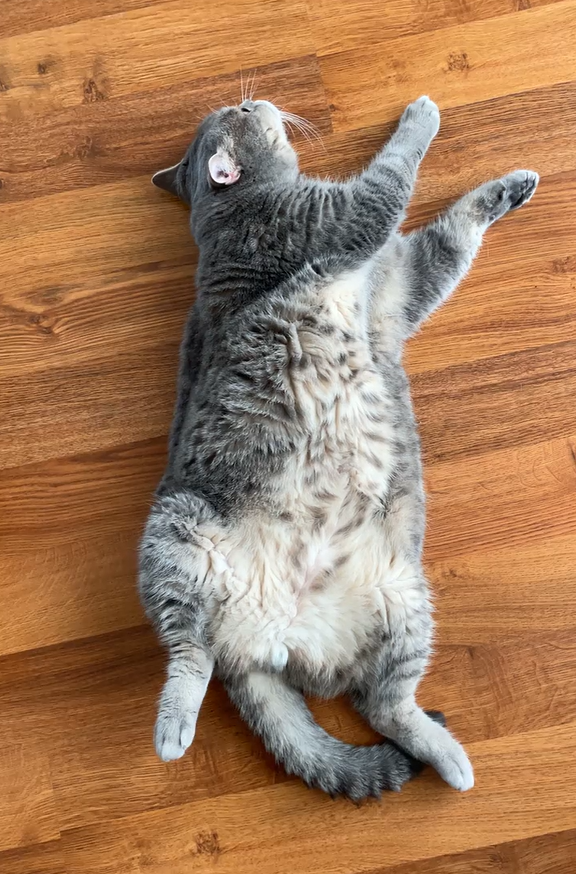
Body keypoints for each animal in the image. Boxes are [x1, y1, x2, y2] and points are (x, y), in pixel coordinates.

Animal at [139, 95, 538, 800]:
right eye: (241, 108)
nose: (255, 96)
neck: (231, 213)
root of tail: (273, 640)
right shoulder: (349, 216)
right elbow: (396, 167)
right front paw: (421, 115)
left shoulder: (401, 282)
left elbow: (455, 229)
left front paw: (511, 188)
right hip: (176, 530)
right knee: (189, 652)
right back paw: (173, 728)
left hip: (404, 601)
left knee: (387, 706)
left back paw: (448, 756)